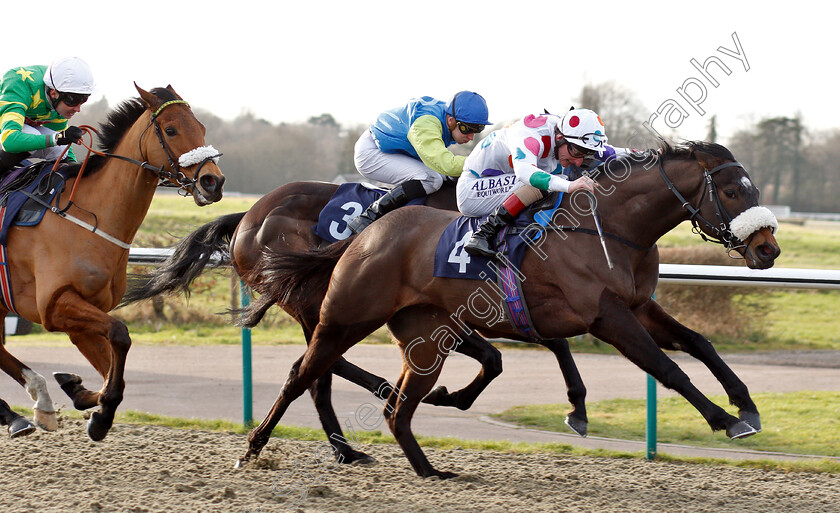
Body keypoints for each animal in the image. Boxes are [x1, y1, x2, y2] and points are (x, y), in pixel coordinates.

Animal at [0, 85, 225, 440]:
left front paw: (80, 392)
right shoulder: (55, 304)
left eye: (201, 127)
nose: (212, 182)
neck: (89, 217)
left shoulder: (81, 317)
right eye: (171, 130)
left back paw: (29, 408)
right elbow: (120, 334)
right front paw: (101, 410)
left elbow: (108, 371)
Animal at [121, 178, 588, 462]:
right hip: (317, 300)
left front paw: (578, 407)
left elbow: (538, 344)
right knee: (317, 368)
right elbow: (499, 353)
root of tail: (247, 217)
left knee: (318, 371)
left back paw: (349, 443)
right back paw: (367, 414)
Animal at [235, 140, 780, 476]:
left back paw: (405, 458)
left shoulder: (639, 306)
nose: (768, 248)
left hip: (420, 336)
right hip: (341, 318)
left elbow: (697, 342)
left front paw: (746, 405)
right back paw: (256, 449)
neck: (607, 224)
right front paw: (723, 419)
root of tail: (363, 233)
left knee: (379, 397)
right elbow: (666, 367)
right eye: (733, 190)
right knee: (303, 375)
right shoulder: (607, 315)